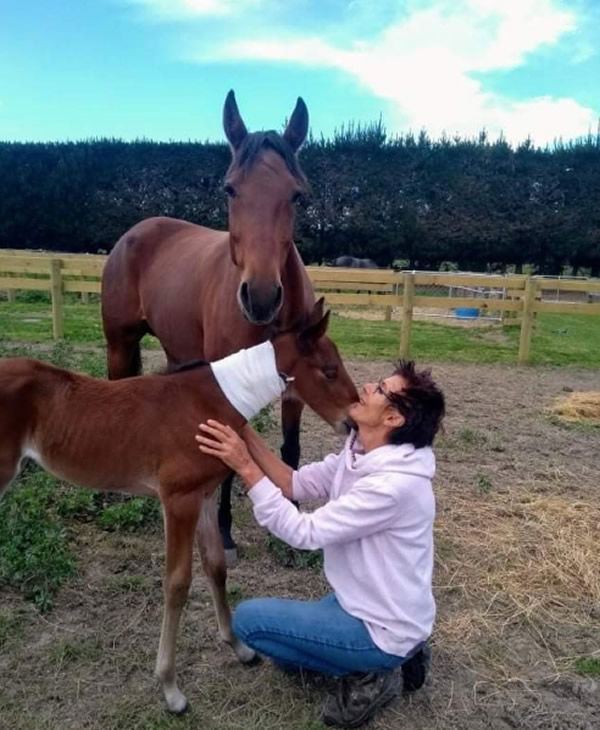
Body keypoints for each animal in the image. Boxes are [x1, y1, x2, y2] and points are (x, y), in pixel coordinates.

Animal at [0, 300, 356, 712]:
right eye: (329, 370)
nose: (351, 423)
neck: (212, 401)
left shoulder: (202, 497)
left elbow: (215, 566)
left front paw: (238, 648)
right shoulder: (178, 500)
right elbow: (177, 583)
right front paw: (170, 689)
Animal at [101, 89, 314, 564]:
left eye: (296, 195)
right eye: (230, 188)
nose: (260, 296)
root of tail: (138, 231)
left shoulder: (295, 387)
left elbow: (290, 450)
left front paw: (292, 525)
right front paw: (226, 533)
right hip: (119, 344)